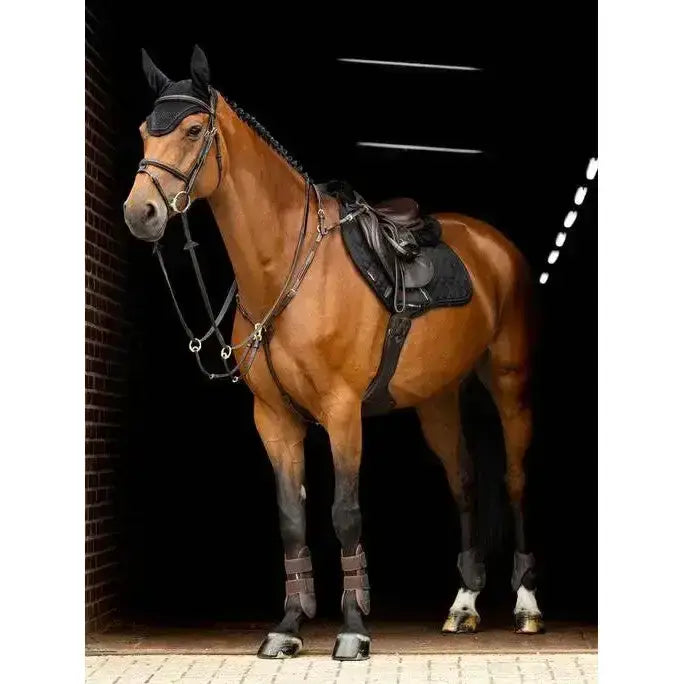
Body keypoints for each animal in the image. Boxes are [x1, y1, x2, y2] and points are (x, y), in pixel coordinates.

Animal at [123, 45, 544, 661]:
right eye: (142, 133)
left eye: (193, 130)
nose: (141, 213)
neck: (285, 269)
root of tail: (495, 245)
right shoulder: (274, 420)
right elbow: (292, 520)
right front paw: (288, 626)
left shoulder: (343, 414)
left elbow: (345, 515)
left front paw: (351, 628)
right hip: (438, 400)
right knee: (463, 481)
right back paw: (463, 605)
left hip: (509, 383)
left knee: (514, 481)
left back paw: (526, 606)